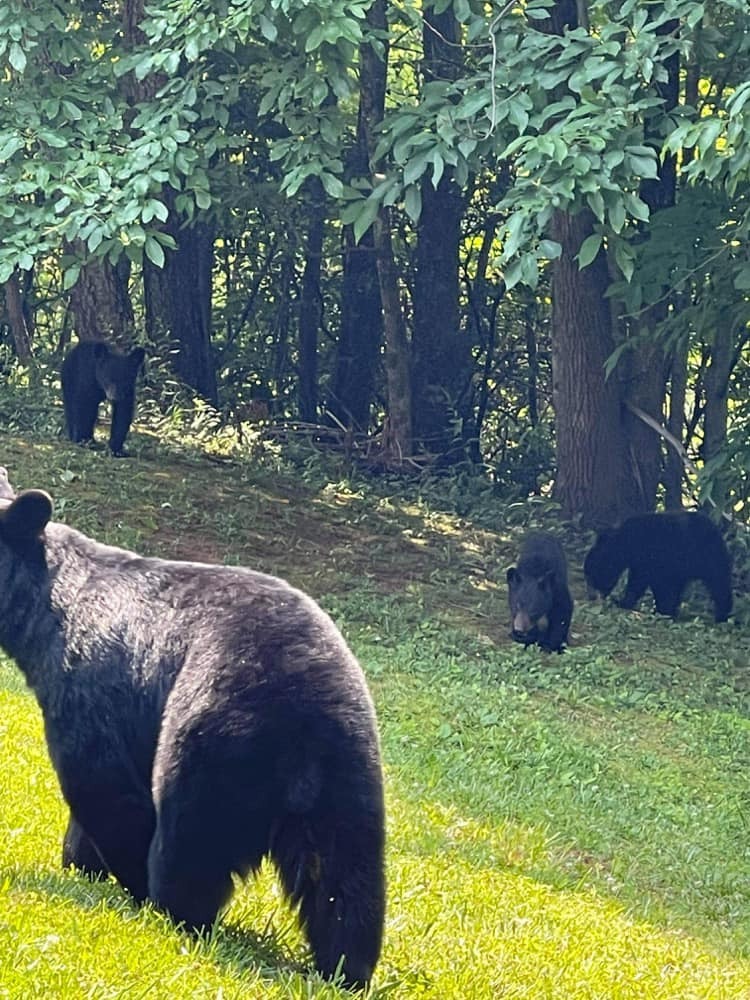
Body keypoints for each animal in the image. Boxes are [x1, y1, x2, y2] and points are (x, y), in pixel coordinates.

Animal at [0, 467, 385, 989]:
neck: (42, 609)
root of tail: (299, 716)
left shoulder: (88, 683)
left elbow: (100, 782)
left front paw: (111, 872)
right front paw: (80, 861)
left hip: (211, 737)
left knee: (187, 840)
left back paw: (171, 910)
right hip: (349, 766)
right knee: (345, 878)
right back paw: (345, 967)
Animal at [583, 510, 732, 623]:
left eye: (591, 577)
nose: (591, 596)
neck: (625, 543)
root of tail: (715, 529)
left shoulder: (652, 557)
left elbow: (640, 582)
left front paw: (622, 602)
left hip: (709, 557)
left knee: (719, 584)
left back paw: (722, 615)